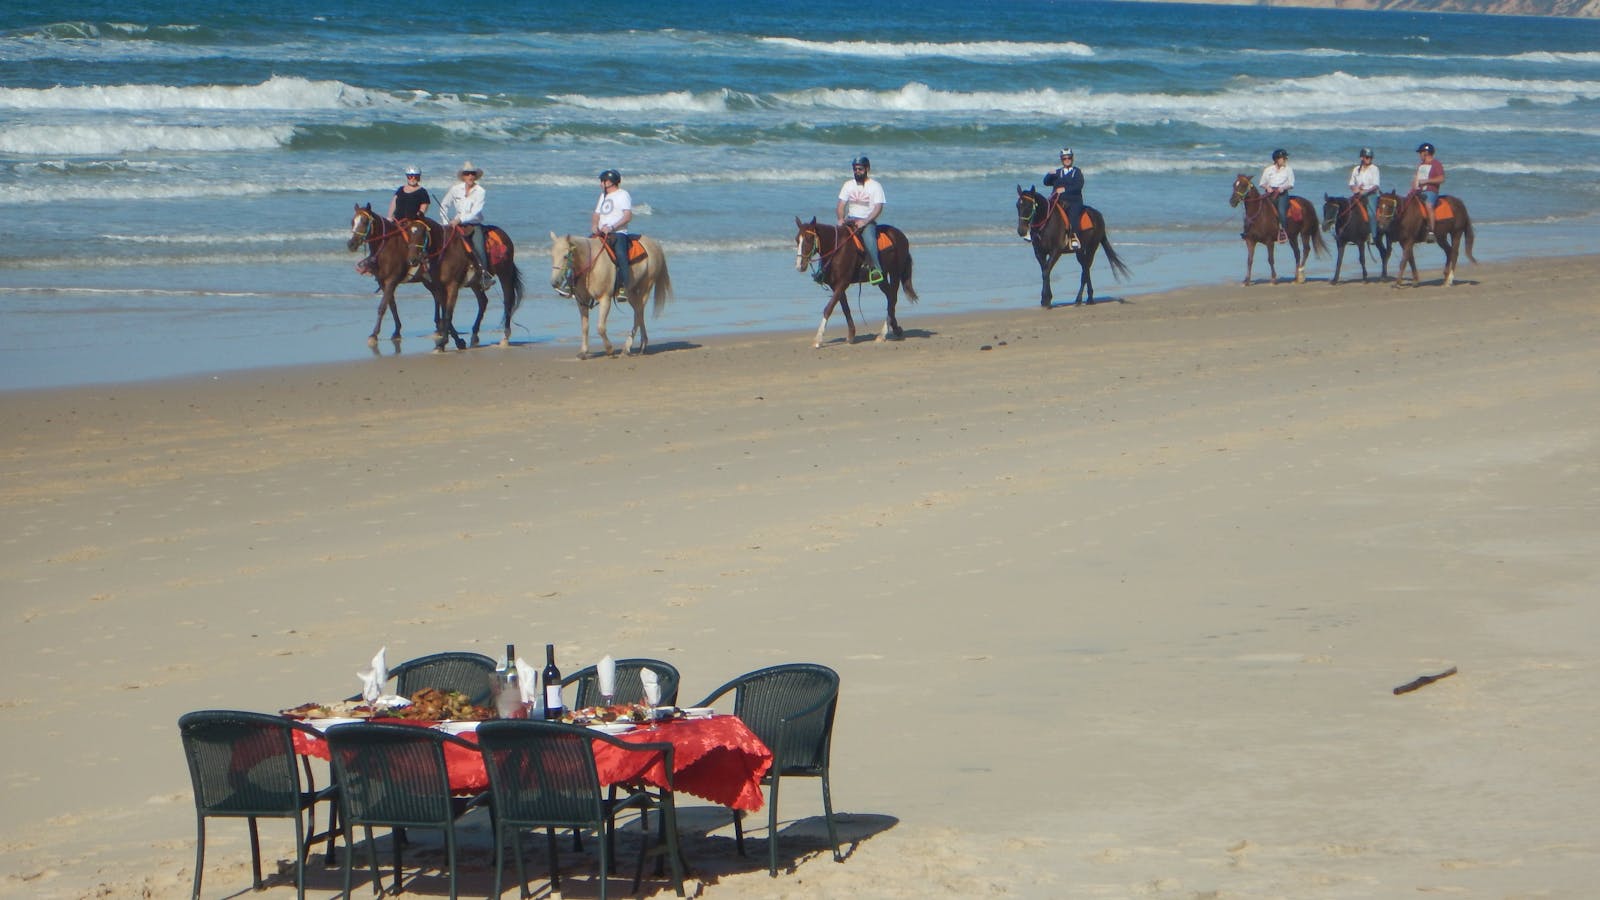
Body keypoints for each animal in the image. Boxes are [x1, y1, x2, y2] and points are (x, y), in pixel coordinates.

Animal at [345, 204, 432, 344]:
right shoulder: (383, 282)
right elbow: (392, 306)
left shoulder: (391, 280)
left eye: (365, 221)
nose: (351, 244)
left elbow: (382, 307)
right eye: (352, 221)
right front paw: (397, 331)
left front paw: (374, 334)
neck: (386, 247)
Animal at [400, 219, 524, 352]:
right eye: (408, 233)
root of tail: (504, 235)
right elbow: (445, 312)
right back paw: (474, 336)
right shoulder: (439, 288)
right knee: (483, 302)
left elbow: (448, 314)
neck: (445, 253)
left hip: (505, 272)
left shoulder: (452, 286)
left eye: (422, 234)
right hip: (475, 283)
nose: (412, 260)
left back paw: (505, 338)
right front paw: (456, 342)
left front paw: (443, 342)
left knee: (508, 300)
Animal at [793, 212, 921, 347]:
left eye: (809, 238)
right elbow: (845, 309)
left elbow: (828, 308)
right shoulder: (836, 286)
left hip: (895, 273)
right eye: (797, 239)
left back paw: (883, 334)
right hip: (882, 279)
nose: (799, 265)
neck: (837, 249)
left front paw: (818, 339)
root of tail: (901, 236)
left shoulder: (843, 283)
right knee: (890, 297)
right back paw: (896, 329)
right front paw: (851, 335)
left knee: (892, 299)